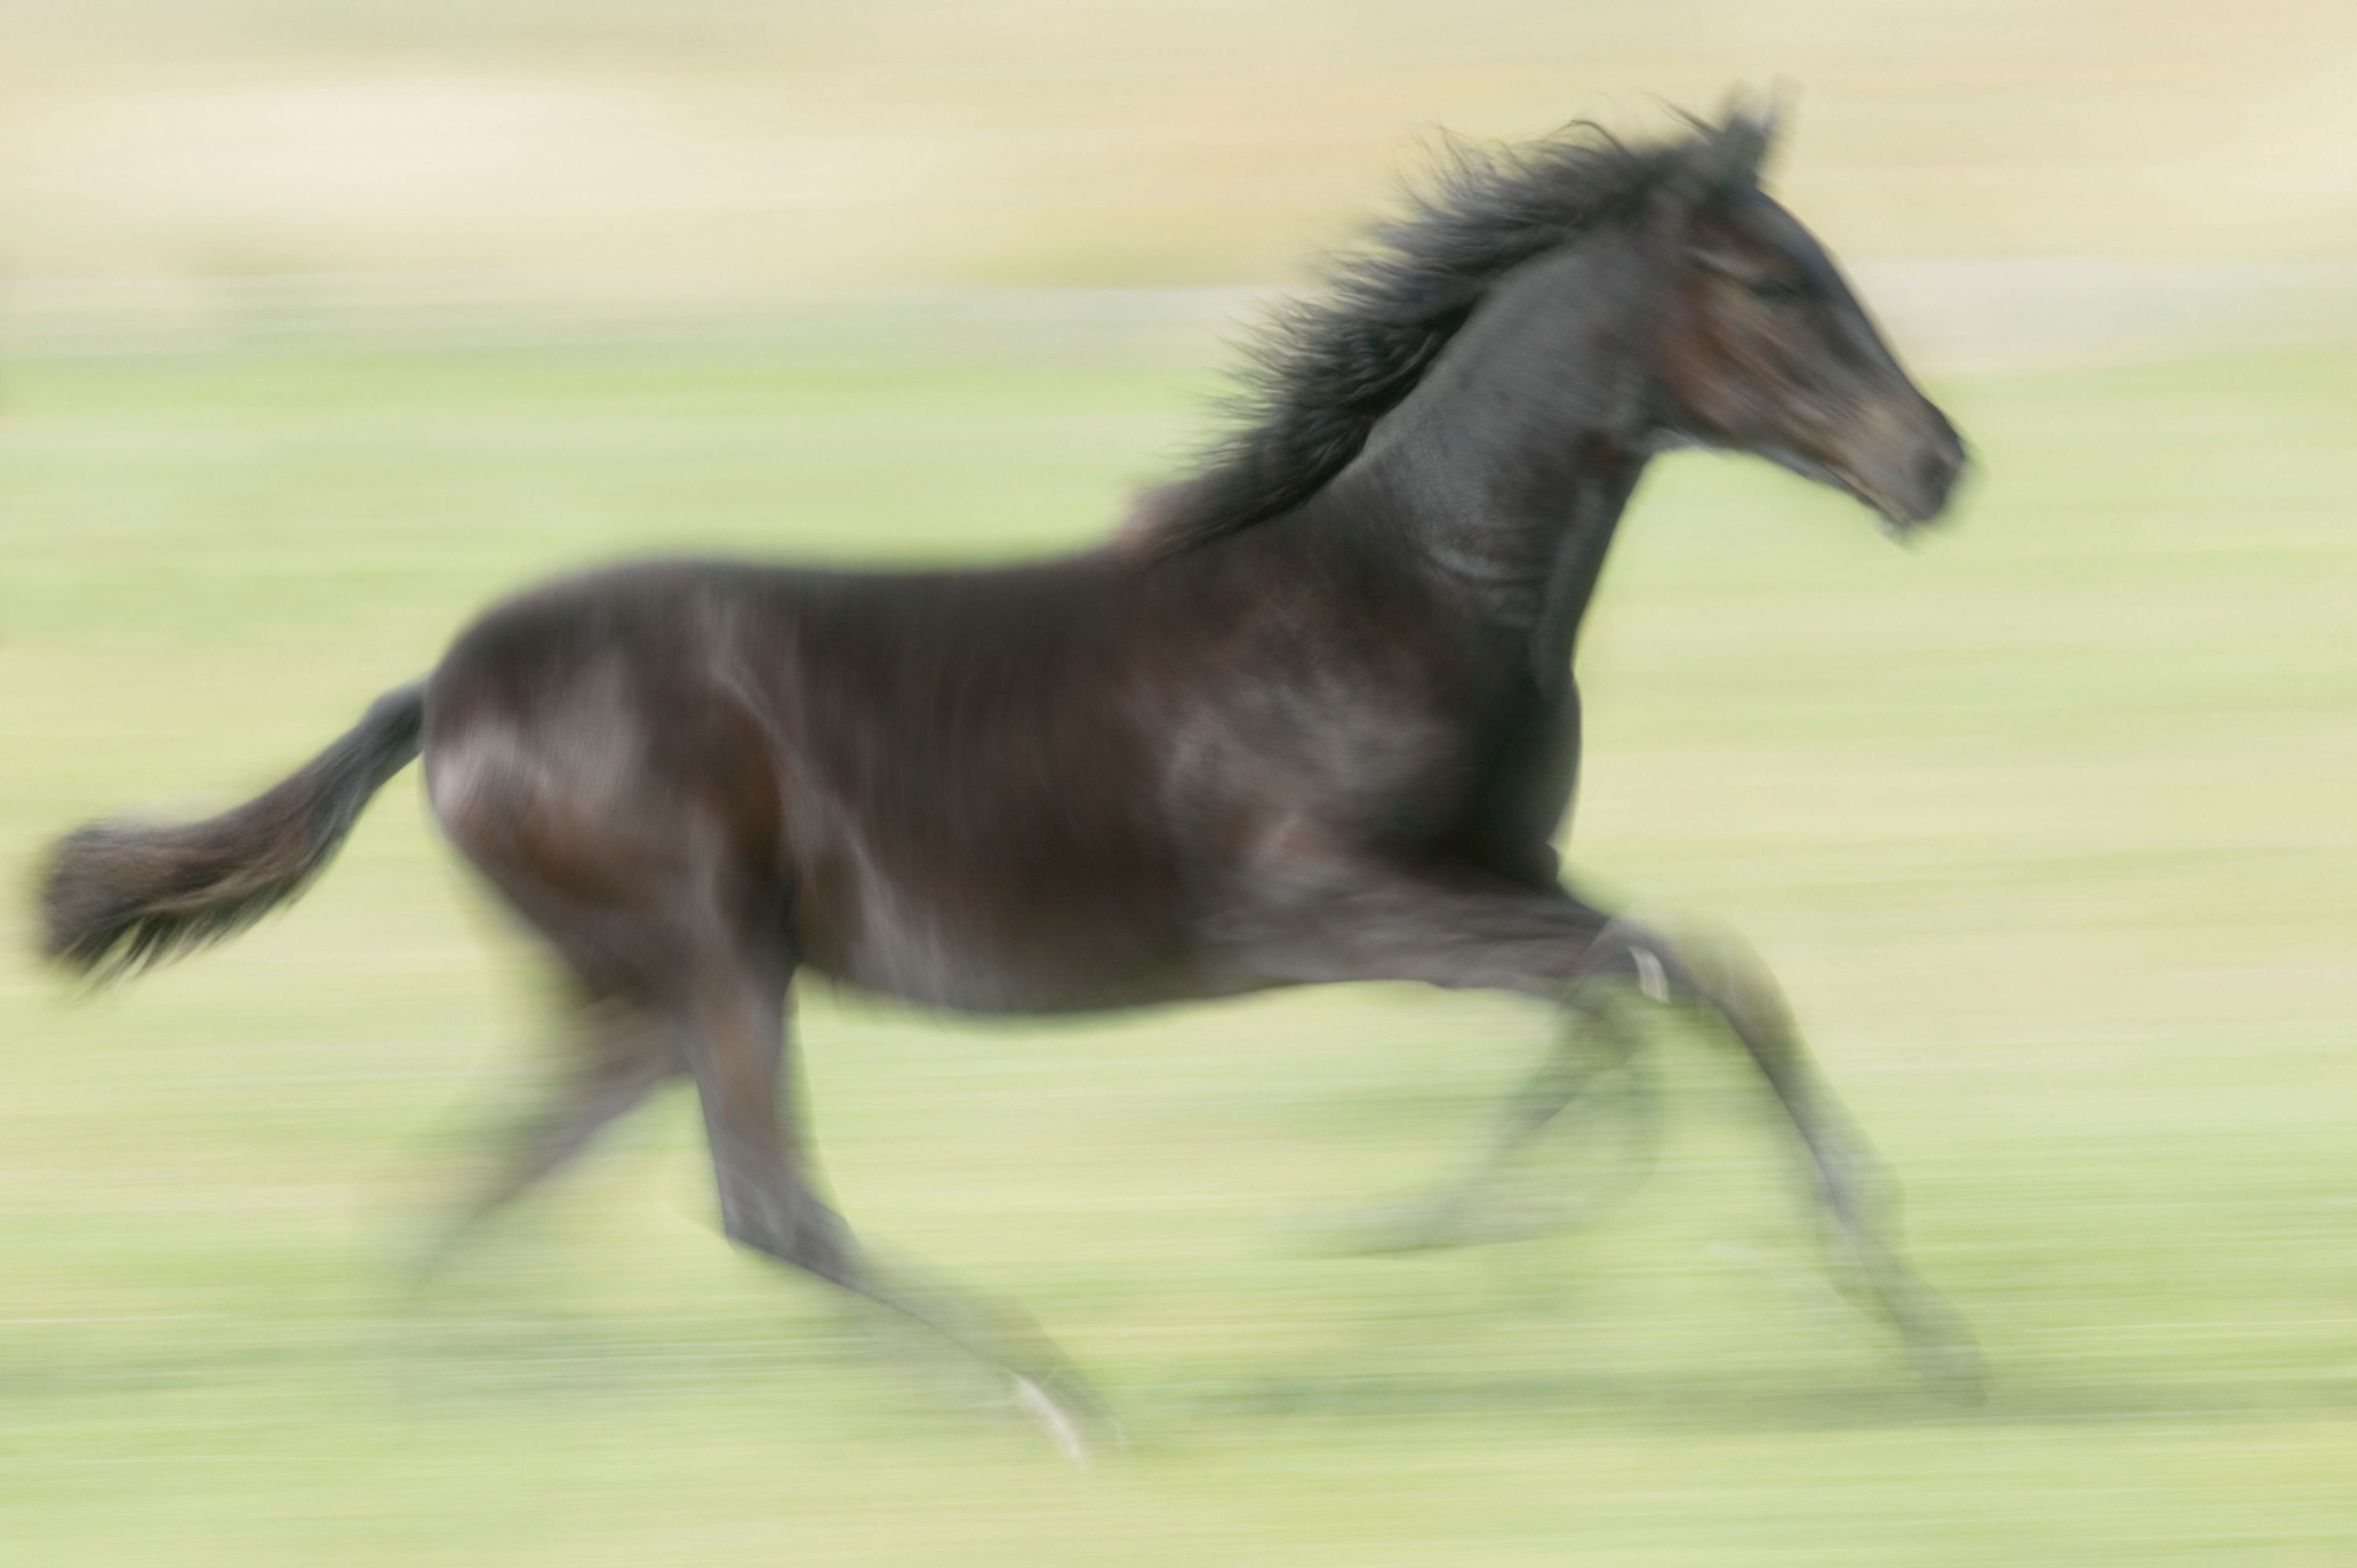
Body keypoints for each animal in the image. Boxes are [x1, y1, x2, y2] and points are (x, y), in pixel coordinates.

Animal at [39, 106, 1980, 1458]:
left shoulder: (1500, 873)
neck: (1405, 585)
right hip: (713, 949)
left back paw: (469, 1415)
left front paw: (1903, 1317)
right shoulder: (1328, 901)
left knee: (470, 1205)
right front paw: (1462, 1228)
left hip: (626, 996)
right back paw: (1050, 1400)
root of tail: (444, 692)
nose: (1938, 462)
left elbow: (1680, 978)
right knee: (763, 1204)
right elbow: (1657, 978)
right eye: (1772, 282)